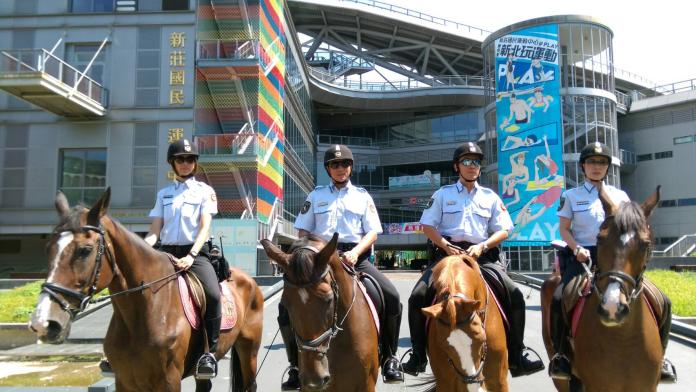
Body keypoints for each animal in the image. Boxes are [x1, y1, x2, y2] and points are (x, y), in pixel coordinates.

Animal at [29, 188, 264, 390]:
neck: (145, 311)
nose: (44, 322)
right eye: (48, 248)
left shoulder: (169, 380)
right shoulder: (124, 381)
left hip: (248, 349)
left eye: (85, 250)